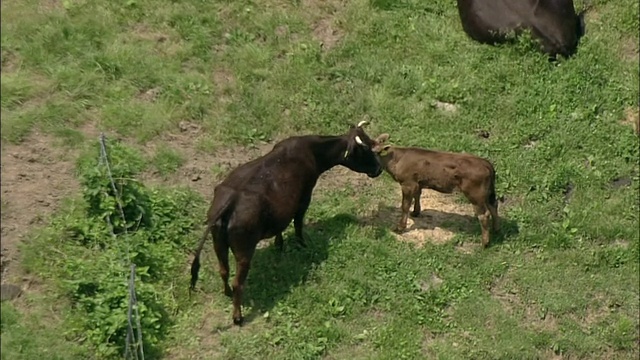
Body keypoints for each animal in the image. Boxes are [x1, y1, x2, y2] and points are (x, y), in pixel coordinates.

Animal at [188, 121, 382, 326]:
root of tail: (231, 200)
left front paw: (279, 244)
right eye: (366, 149)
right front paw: (302, 244)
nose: (379, 168)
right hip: (244, 250)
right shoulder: (304, 197)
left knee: (223, 271)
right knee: (237, 283)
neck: (312, 150)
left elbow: (280, 227)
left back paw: (226, 293)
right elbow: (297, 223)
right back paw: (237, 317)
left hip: (218, 243)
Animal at [370, 133, 500, 248]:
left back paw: (484, 243)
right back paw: (495, 230)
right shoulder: (417, 182)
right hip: (488, 192)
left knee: (484, 215)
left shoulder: (408, 184)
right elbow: (417, 195)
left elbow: (405, 206)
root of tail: (487, 164)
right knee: (494, 205)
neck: (396, 159)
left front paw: (400, 228)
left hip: (475, 194)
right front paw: (416, 212)